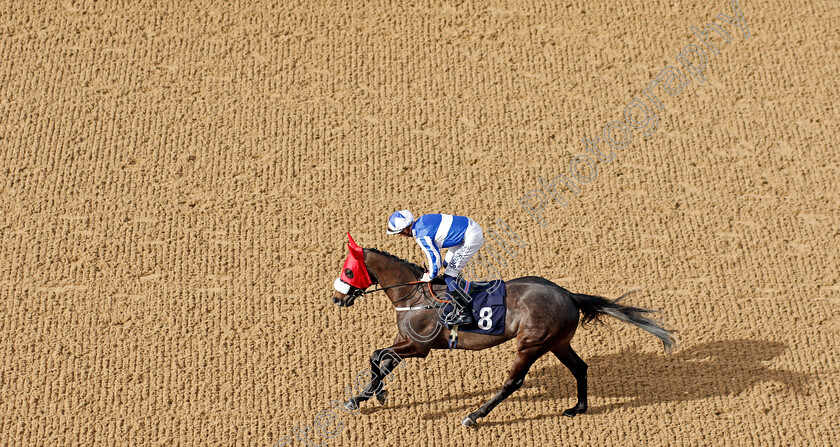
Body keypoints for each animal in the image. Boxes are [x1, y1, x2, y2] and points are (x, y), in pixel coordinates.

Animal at [330, 245, 676, 428]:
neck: (414, 295)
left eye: (348, 271)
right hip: (558, 343)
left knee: (513, 382)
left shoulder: (419, 346)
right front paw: (364, 397)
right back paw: (578, 408)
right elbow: (379, 360)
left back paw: (474, 416)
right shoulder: (408, 344)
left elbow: (377, 356)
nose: (337, 298)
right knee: (580, 368)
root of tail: (567, 294)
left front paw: (374, 395)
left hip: (532, 344)